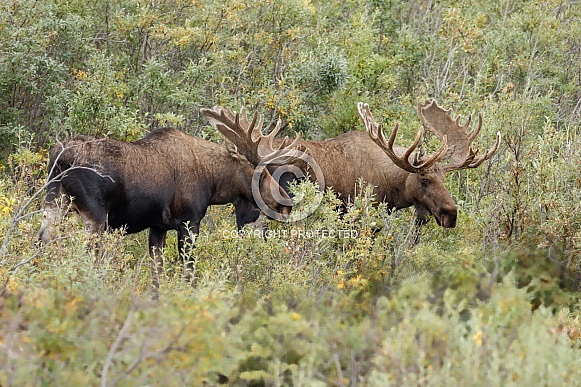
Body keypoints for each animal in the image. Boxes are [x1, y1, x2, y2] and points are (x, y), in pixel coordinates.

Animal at [37, 126, 300, 290]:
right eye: (260, 172)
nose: (285, 202)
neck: (212, 181)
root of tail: (61, 157)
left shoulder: (158, 226)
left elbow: (157, 274)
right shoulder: (188, 222)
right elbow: (189, 270)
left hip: (54, 203)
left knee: (42, 240)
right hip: (95, 217)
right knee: (87, 255)